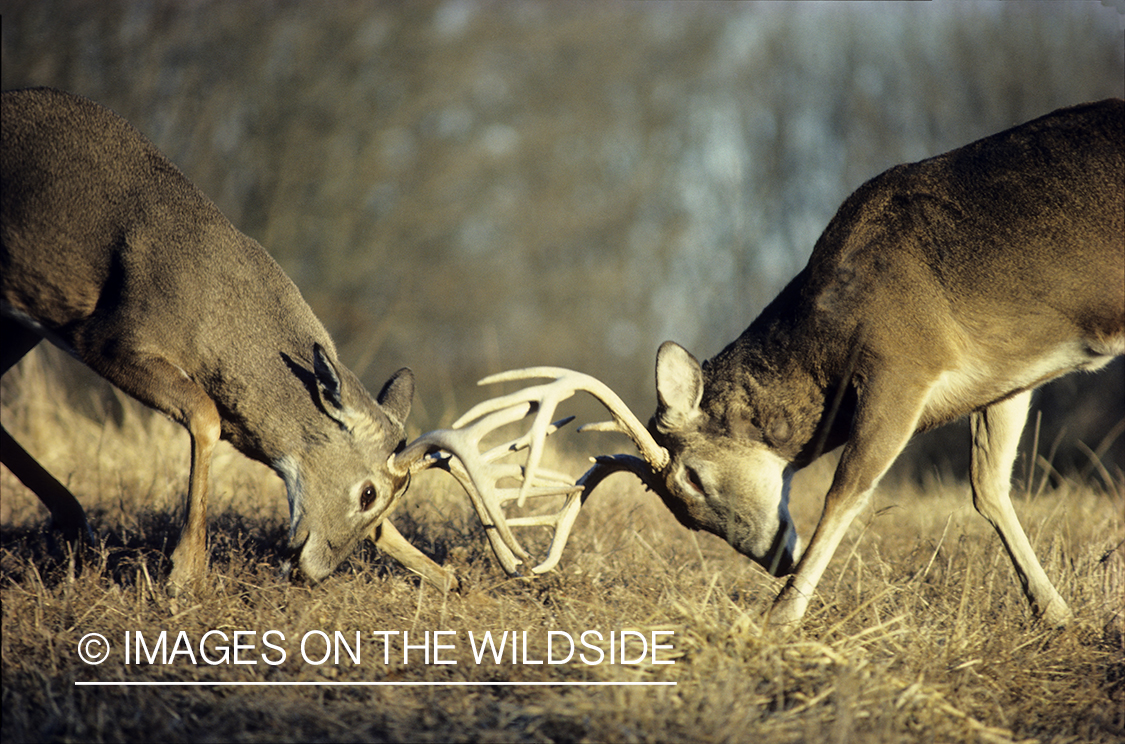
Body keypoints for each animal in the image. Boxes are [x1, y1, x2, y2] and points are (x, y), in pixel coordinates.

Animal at [4, 87, 585, 594]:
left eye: (390, 502)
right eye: (367, 492)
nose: (313, 571)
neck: (217, 312)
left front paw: (446, 577)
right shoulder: (109, 334)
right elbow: (205, 415)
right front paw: (185, 574)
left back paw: (74, 524)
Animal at [459, 98, 1125, 625]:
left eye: (692, 477)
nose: (776, 559)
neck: (830, 330)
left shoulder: (905, 361)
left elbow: (846, 491)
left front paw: (781, 615)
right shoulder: (1005, 376)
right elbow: (988, 488)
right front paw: (1054, 613)